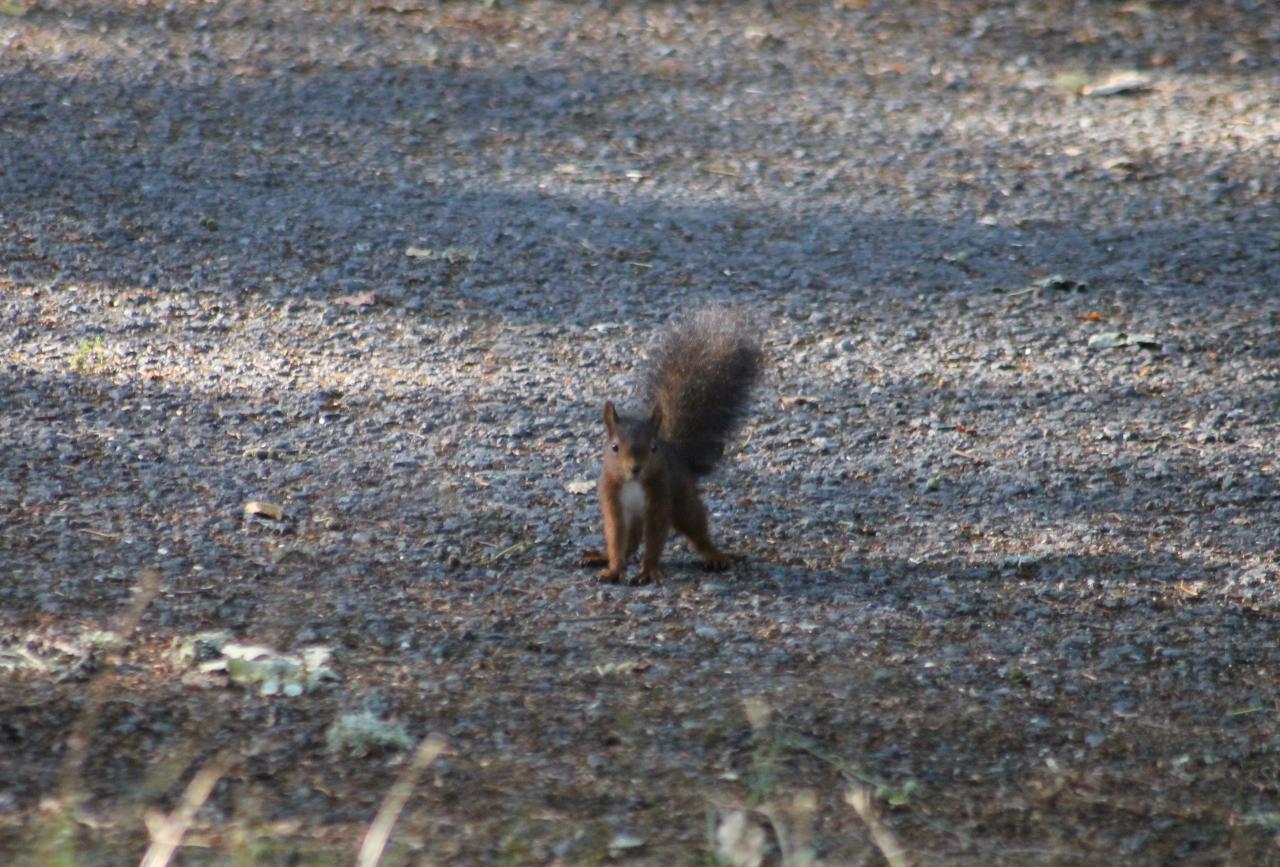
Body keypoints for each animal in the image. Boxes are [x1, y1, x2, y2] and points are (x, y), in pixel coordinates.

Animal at [586, 307, 757, 583]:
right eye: (614, 447)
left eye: (653, 448)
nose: (635, 468)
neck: (633, 483)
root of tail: (677, 453)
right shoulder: (612, 498)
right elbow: (615, 535)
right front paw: (613, 569)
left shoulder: (660, 496)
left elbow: (656, 535)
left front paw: (648, 571)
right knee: (631, 541)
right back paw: (602, 556)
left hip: (683, 498)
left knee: (695, 527)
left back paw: (716, 555)